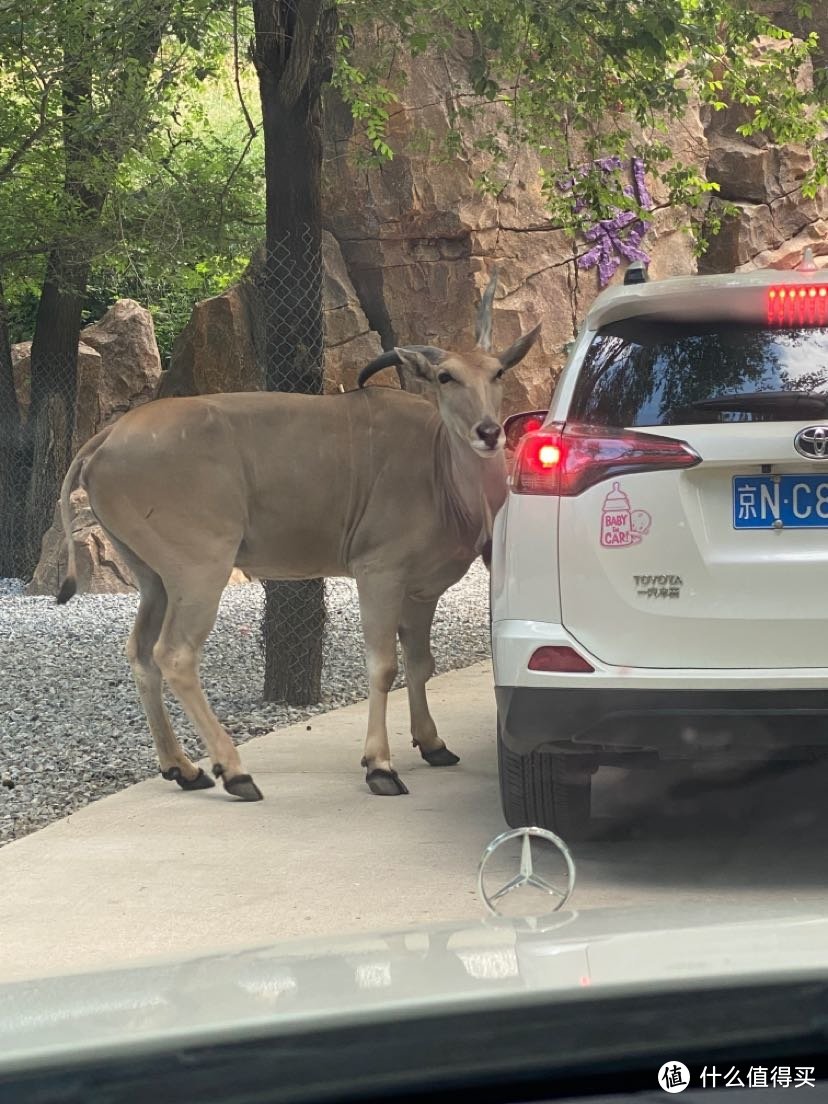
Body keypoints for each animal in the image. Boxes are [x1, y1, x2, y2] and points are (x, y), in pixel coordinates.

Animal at [55, 267, 540, 803]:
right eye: (445, 376)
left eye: (497, 373)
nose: (489, 432)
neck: (438, 466)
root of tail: (105, 440)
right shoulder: (379, 573)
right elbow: (383, 666)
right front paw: (380, 766)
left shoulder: (422, 590)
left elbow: (420, 662)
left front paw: (432, 744)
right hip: (200, 569)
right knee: (174, 655)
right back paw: (235, 772)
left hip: (154, 578)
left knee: (140, 653)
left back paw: (183, 767)